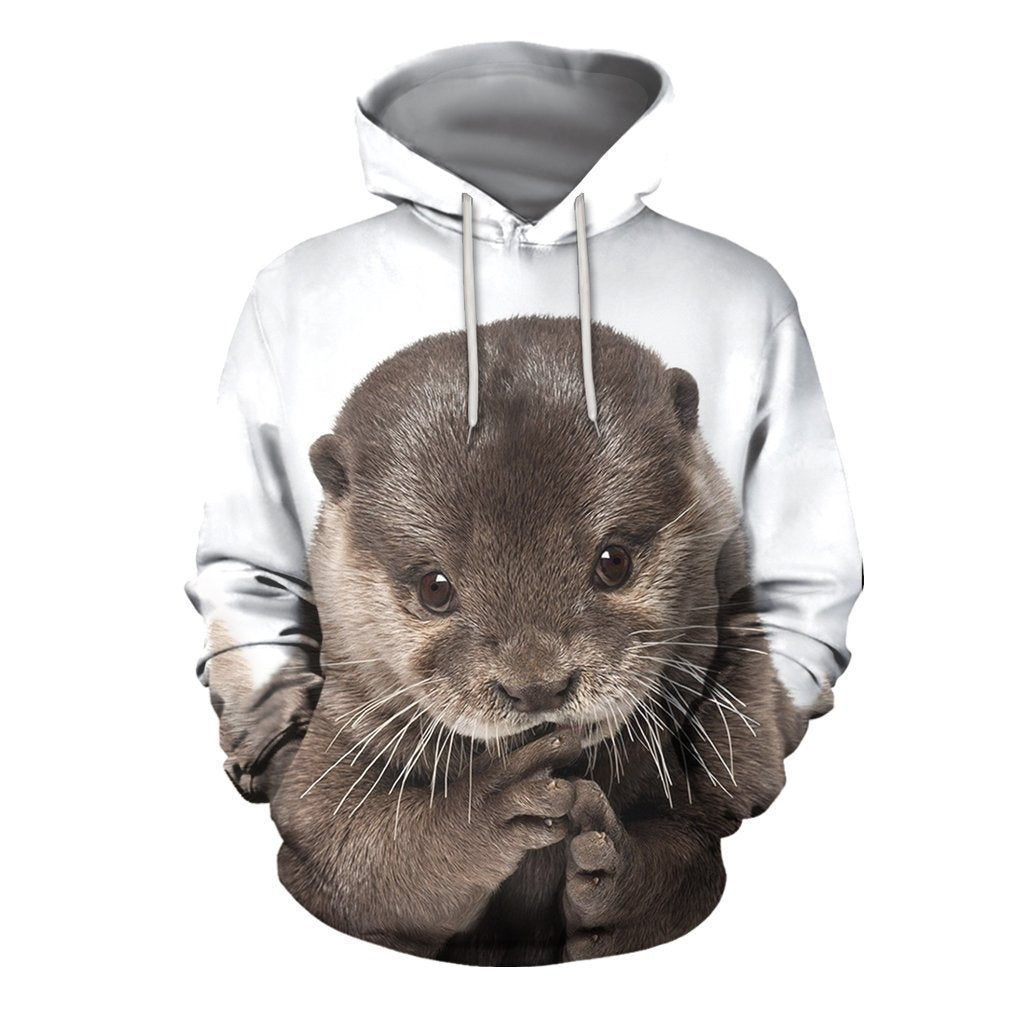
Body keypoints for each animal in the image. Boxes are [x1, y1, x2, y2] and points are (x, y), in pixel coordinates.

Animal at [268, 314, 806, 965]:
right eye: (434, 587)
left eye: (614, 561)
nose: (537, 685)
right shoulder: (326, 755)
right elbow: (348, 849)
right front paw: (488, 809)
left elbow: (695, 846)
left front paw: (612, 869)